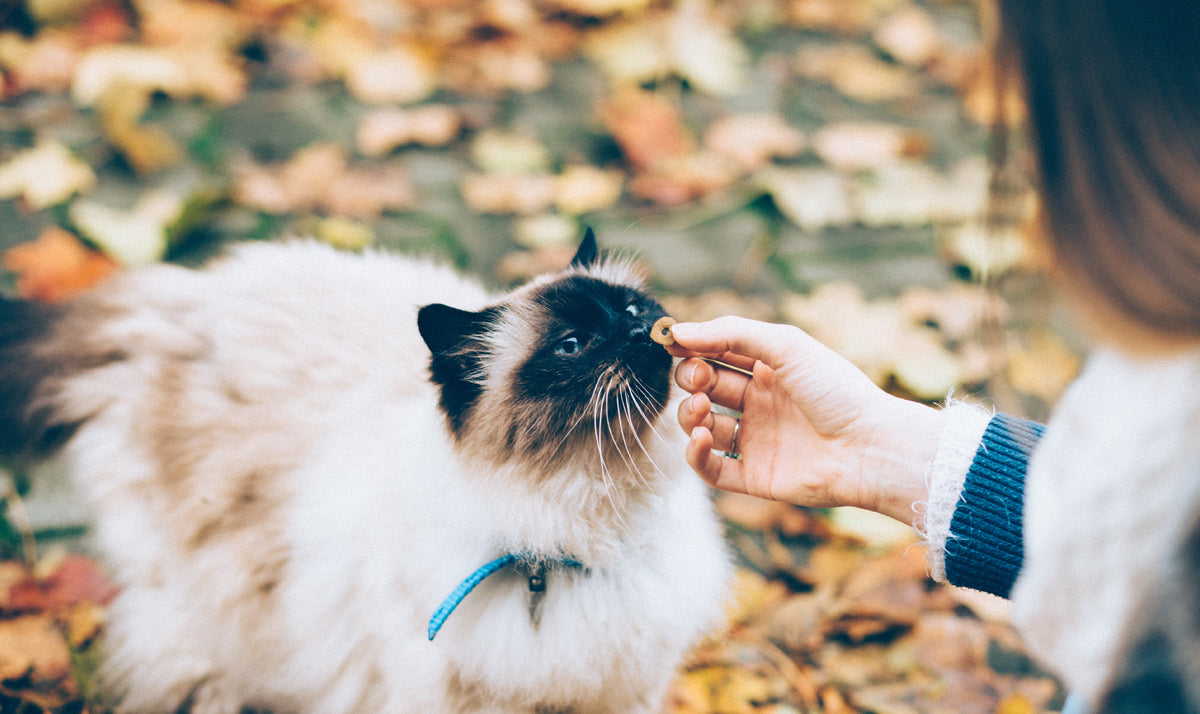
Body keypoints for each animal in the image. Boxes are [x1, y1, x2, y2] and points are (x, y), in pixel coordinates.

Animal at [0, 232, 729, 714]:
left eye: (632, 310)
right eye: (573, 346)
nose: (641, 332)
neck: (587, 537)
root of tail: (175, 298)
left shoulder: (628, 691)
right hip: (208, 612)